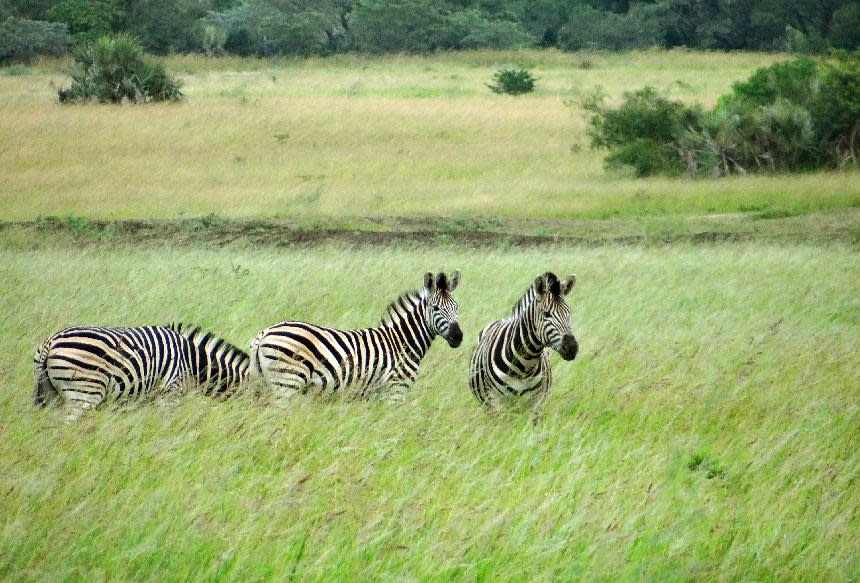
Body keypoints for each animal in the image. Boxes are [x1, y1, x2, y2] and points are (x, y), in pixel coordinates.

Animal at [250, 272, 464, 402]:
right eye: (435, 308)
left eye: (456, 307)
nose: (458, 337)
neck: (402, 343)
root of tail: (265, 333)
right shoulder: (395, 391)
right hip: (287, 383)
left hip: (264, 385)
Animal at [466, 272, 580, 410]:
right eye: (546, 314)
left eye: (569, 312)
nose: (572, 348)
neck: (524, 365)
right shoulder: (497, 403)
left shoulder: (536, 403)